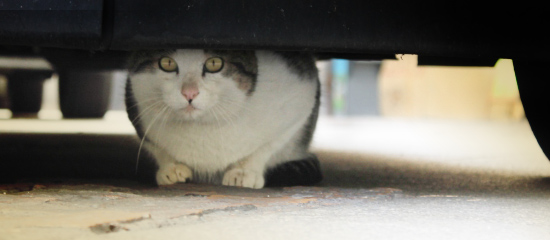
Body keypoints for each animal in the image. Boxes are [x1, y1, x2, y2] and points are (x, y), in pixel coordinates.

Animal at [125, 49, 324, 188]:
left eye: (214, 63)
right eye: (167, 62)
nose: (189, 93)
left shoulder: (301, 100)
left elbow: (267, 146)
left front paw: (244, 172)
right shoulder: (136, 108)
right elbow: (157, 148)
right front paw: (171, 168)